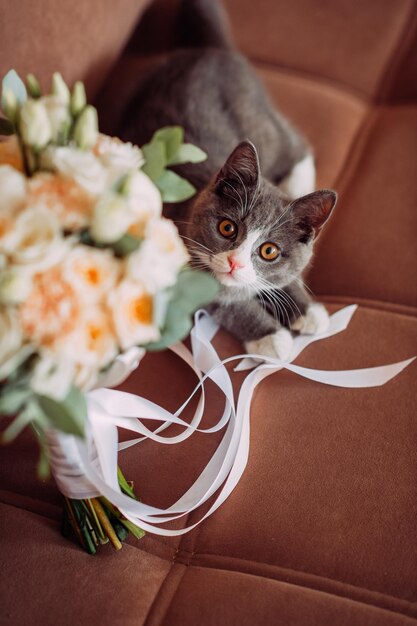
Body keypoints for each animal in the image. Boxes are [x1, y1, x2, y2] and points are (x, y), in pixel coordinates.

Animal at [120, 0, 334, 356]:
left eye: (269, 251)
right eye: (227, 228)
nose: (235, 263)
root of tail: (210, 51)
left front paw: (307, 309)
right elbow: (227, 304)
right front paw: (271, 337)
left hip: (263, 120)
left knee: (296, 143)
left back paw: (298, 182)